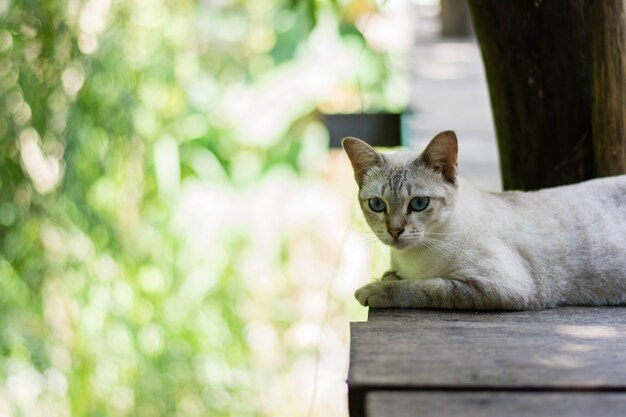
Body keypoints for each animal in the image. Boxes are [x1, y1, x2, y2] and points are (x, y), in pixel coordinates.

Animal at [342, 130, 624, 308]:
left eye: (419, 204)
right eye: (377, 205)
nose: (394, 230)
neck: (410, 261)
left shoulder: (502, 286)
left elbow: (425, 288)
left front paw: (374, 290)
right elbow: (398, 277)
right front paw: (387, 277)